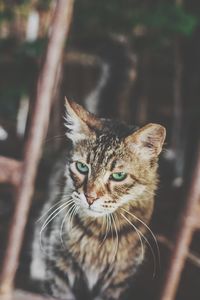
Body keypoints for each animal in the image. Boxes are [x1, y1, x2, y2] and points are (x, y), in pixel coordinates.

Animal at [31, 99, 166, 300]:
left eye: (118, 176)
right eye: (82, 167)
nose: (90, 197)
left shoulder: (119, 279)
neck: (98, 234)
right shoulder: (58, 268)